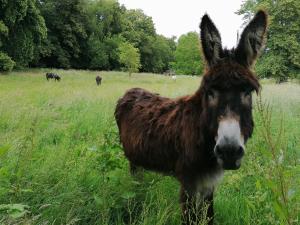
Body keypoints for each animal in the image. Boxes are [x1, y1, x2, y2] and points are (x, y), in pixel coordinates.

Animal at [115, 10, 268, 223]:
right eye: (209, 92)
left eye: (248, 92)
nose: (229, 151)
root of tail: (131, 90)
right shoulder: (188, 183)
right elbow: (190, 218)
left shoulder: (209, 185)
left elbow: (209, 216)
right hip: (132, 160)